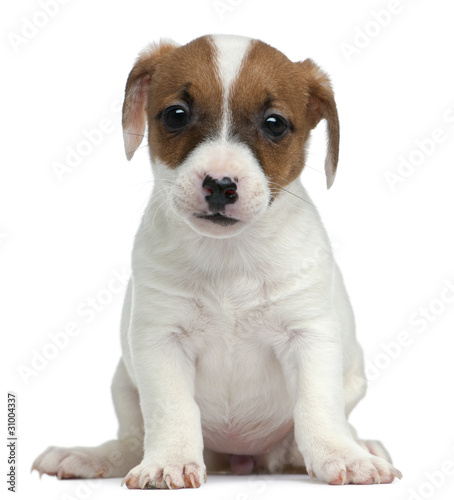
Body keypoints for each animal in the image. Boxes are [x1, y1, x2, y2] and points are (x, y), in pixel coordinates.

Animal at [31, 35, 400, 488]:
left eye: (274, 123)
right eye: (176, 115)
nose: (221, 184)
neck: (229, 256)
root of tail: (241, 460)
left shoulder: (309, 336)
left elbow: (317, 405)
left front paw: (341, 455)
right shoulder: (160, 340)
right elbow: (172, 408)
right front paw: (169, 461)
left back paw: (357, 446)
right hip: (124, 385)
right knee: (132, 439)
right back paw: (90, 456)